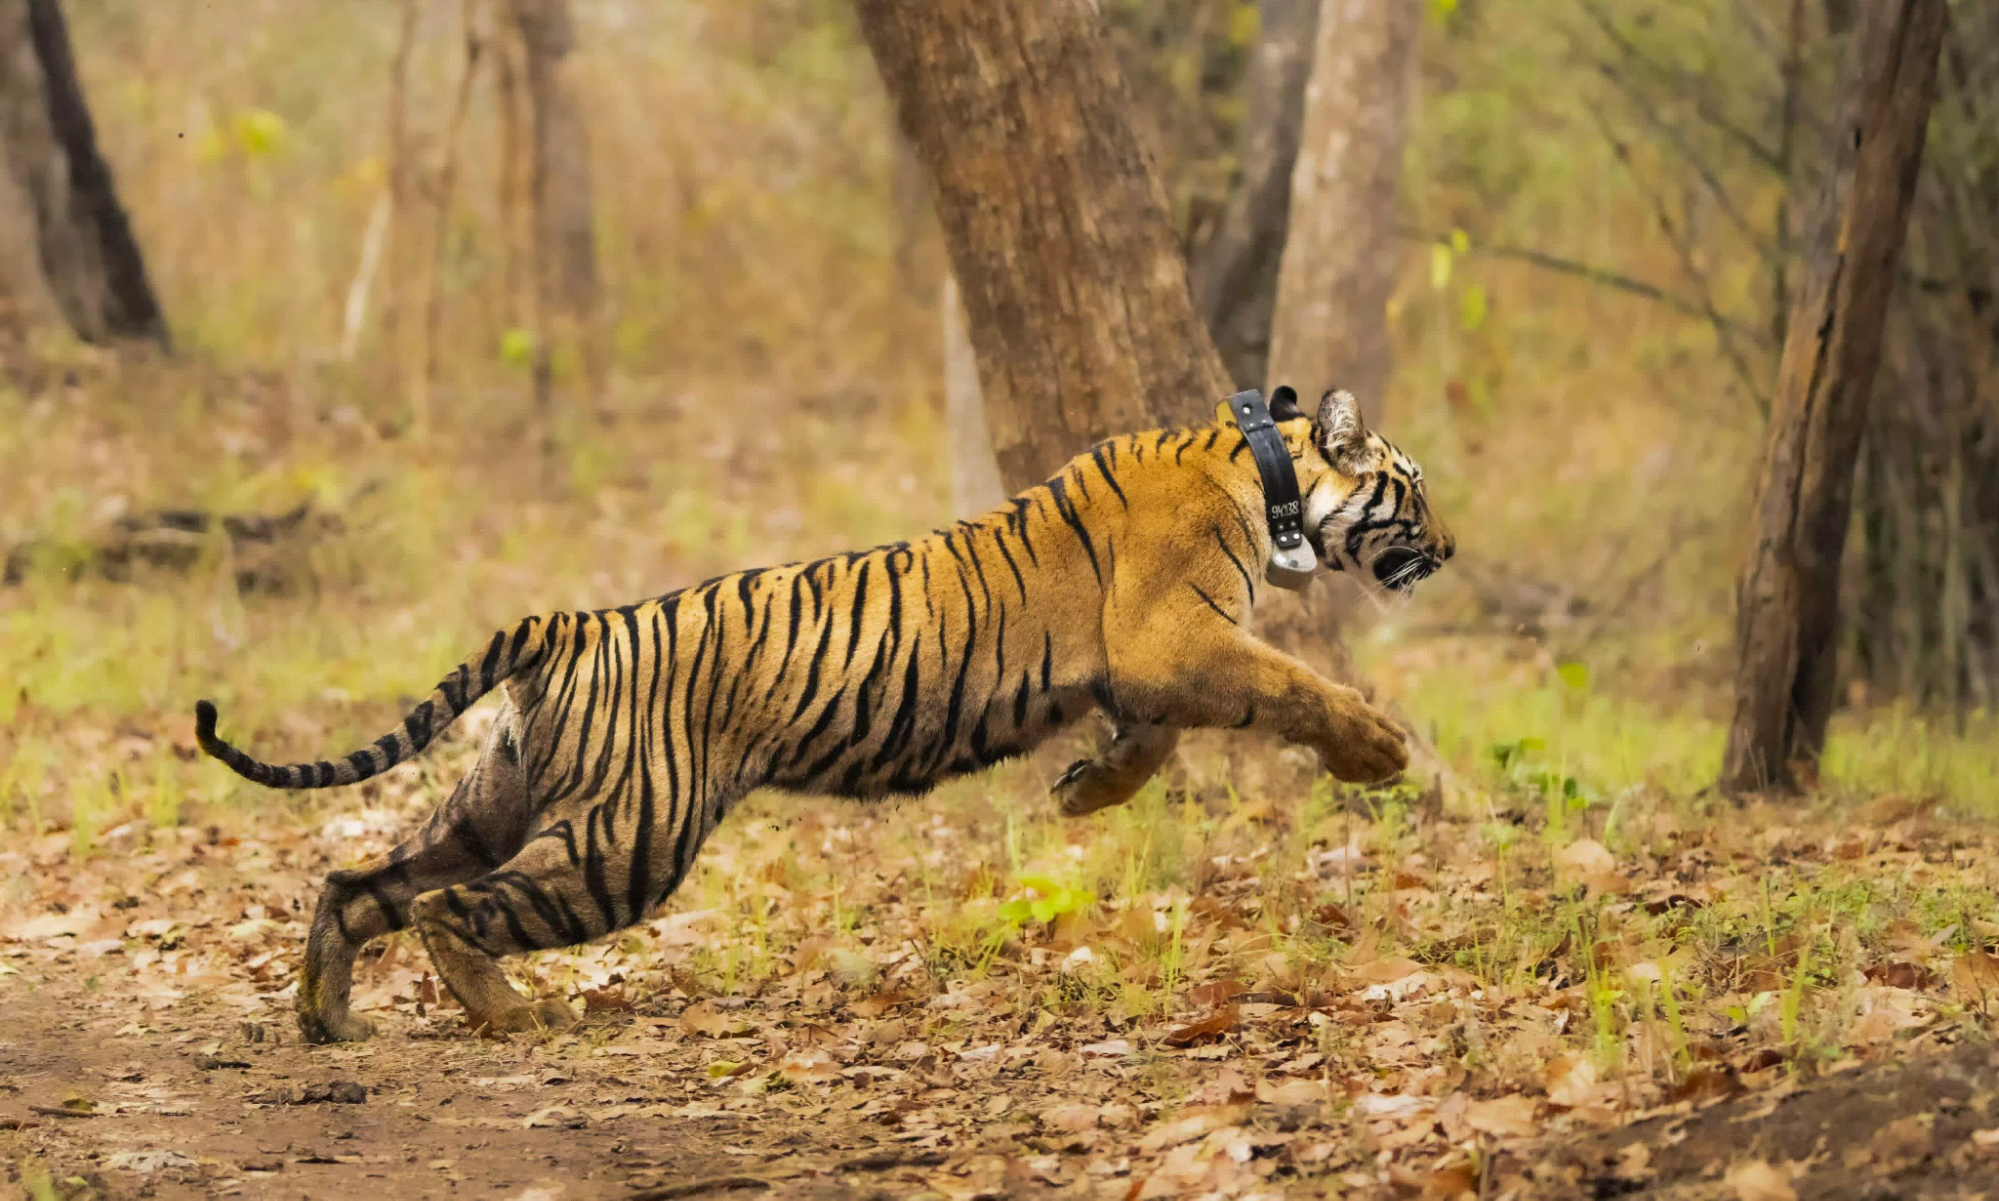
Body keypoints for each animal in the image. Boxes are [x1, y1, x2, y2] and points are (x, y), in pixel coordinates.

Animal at [194, 386, 1453, 1043]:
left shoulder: (1142, 670)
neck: (1267, 471)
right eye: (1415, 488)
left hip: (496, 798)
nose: (1447, 550)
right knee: (448, 904)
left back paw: (325, 1017)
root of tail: (574, 624)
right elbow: (1287, 685)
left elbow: (1152, 741)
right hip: (626, 837)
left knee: (358, 883)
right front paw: (1378, 750)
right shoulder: (1172, 640)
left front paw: (1083, 790)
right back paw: (506, 1015)